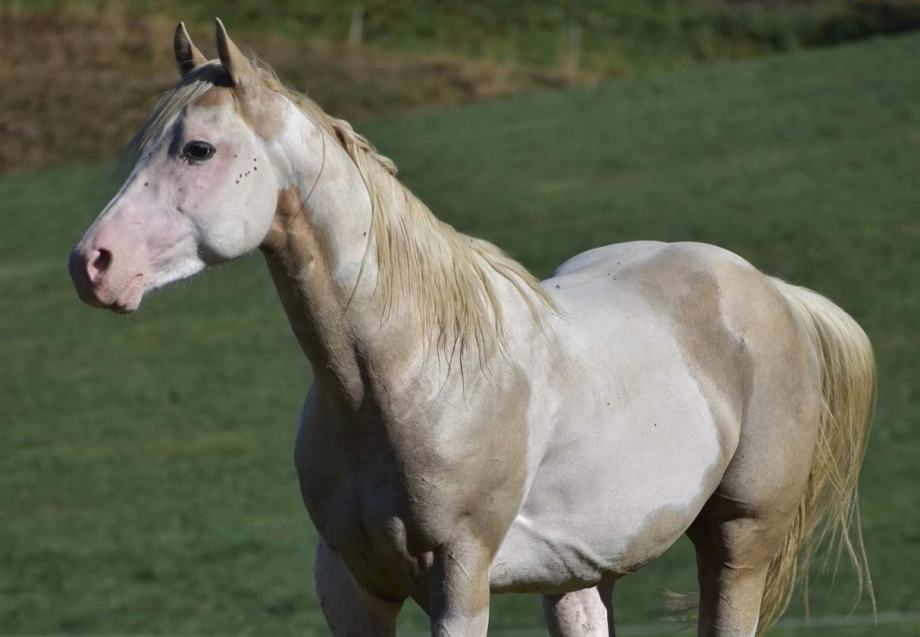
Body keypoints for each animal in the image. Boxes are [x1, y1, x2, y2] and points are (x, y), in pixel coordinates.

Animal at [68, 20, 875, 636]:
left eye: (198, 149)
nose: (91, 263)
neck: (406, 375)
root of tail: (768, 290)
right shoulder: (352, 589)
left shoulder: (458, 582)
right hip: (585, 576)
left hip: (740, 542)